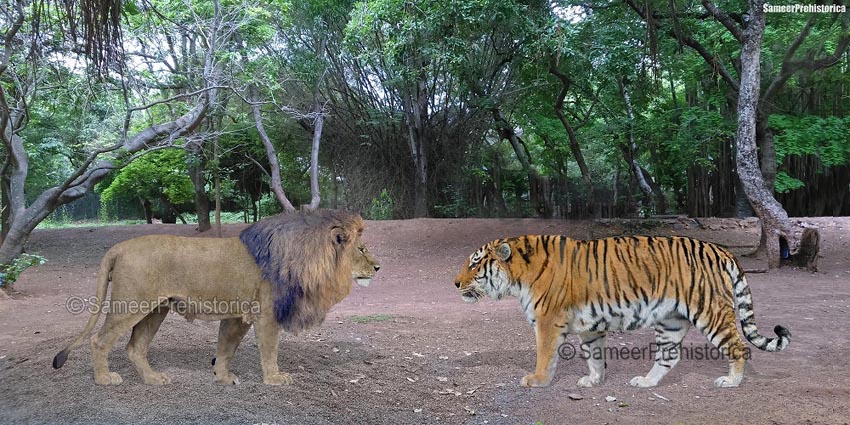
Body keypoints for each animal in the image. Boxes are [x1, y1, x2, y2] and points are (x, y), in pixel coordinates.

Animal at [48, 209, 374, 384]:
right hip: (131, 305)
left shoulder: (238, 316)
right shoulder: (266, 316)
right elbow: (270, 351)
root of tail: (119, 247)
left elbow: (225, 349)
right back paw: (105, 379)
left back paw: (153, 379)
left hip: (155, 310)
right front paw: (274, 379)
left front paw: (222, 378)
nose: (378, 267)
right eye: (361, 249)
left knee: (134, 348)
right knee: (99, 340)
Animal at [454, 235, 792, 388]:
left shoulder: (548, 321)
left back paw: (730, 381)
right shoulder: (590, 327)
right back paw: (646, 382)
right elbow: (594, 357)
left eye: (474, 264)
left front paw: (536, 380)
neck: (517, 277)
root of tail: (719, 249)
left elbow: (545, 354)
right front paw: (594, 381)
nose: (455, 283)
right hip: (670, 322)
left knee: (739, 347)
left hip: (711, 312)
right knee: (669, 357)